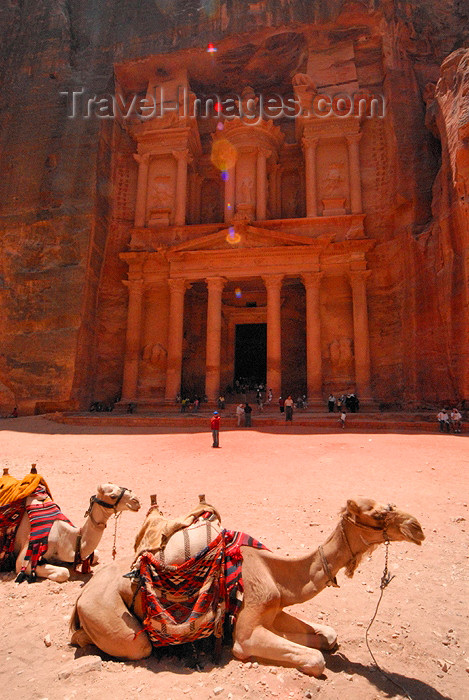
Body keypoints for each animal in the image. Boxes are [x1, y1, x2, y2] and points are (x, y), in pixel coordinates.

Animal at [70, 494, 424, 676]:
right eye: (376, 513)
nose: (417, 527)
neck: (275, 573)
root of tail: (80, 599)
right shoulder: (247, 631)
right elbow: (314, 658)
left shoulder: (272, 610)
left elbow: (328, 637)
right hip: (113, 620)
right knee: (136, 645)